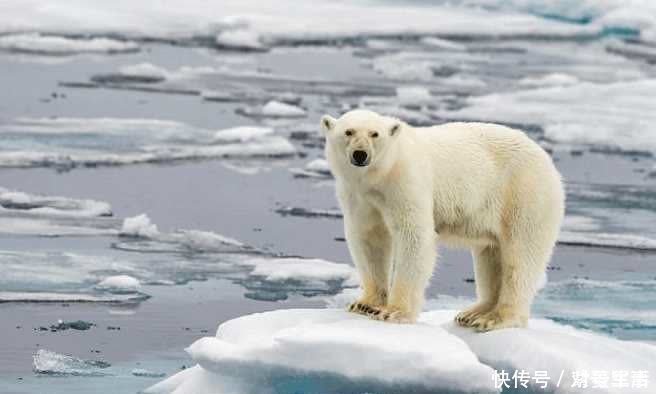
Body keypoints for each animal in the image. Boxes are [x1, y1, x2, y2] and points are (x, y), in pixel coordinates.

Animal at [322, 109, 564, 330]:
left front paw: (394, 312)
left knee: (520, 255)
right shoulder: (359, 196)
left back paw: (496, 318)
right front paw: (365, 304)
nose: (360, 154)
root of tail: (547, 160)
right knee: (491, 255)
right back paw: (473, 313)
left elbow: (414, 236)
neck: (380, 176)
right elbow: (369, 239)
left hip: (523, 194)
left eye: (375, 134)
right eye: (348, 131)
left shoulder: (406, 183)